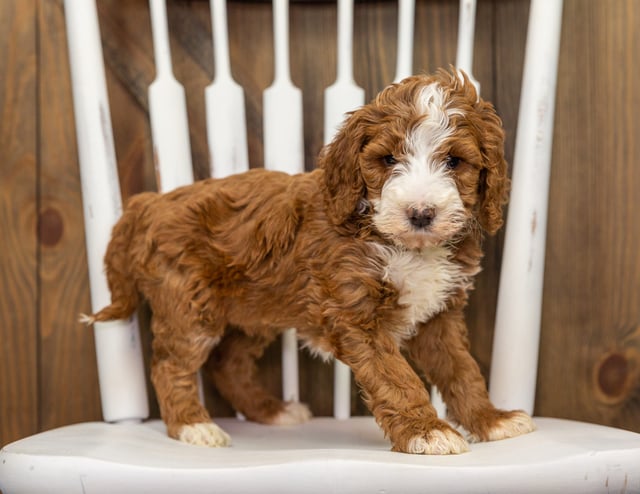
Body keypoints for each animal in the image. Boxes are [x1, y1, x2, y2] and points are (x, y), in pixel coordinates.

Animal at [85, 67, 536, 454]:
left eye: (455, 161)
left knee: (229, 364)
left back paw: (272, 411)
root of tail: (150, 202)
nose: (421, 213)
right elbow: (397, 377)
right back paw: (193, 426)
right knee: (170, 366)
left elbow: (461, 369)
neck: (401, 243)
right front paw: (426, 432)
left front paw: (489, 419)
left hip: (253, 311)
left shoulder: (439, 316)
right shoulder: (355, 314)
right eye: (389, 159)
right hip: (189, 307)